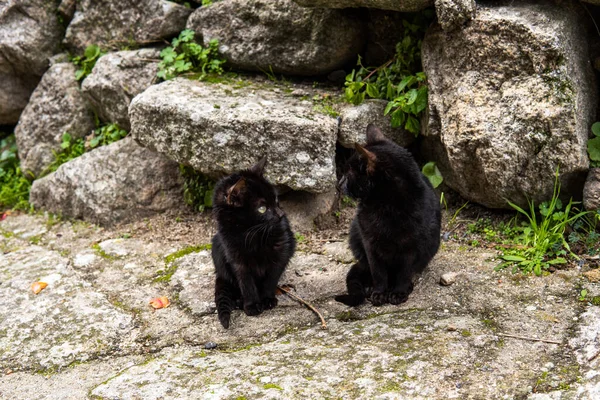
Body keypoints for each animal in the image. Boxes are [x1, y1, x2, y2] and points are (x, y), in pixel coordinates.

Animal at [211, 157, 296, 328]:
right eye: (262, 208)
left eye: (275, 199)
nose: (281, 214)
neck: (251, 235)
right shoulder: (237, 259)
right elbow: (246, 283)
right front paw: (251, 305)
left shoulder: (282, 252)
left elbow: (271, 279)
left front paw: (267, 300)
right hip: (217, 250)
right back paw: (239, 301)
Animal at [332, 125, 440, 306]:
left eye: (348, 174)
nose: (338, 184)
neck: (385, 209)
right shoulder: (370, 244)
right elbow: (379, 272)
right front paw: (379, 292)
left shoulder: (411, 247)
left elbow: (404, 273)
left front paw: (399, 292)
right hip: (355, 236)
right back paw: (370, 287)